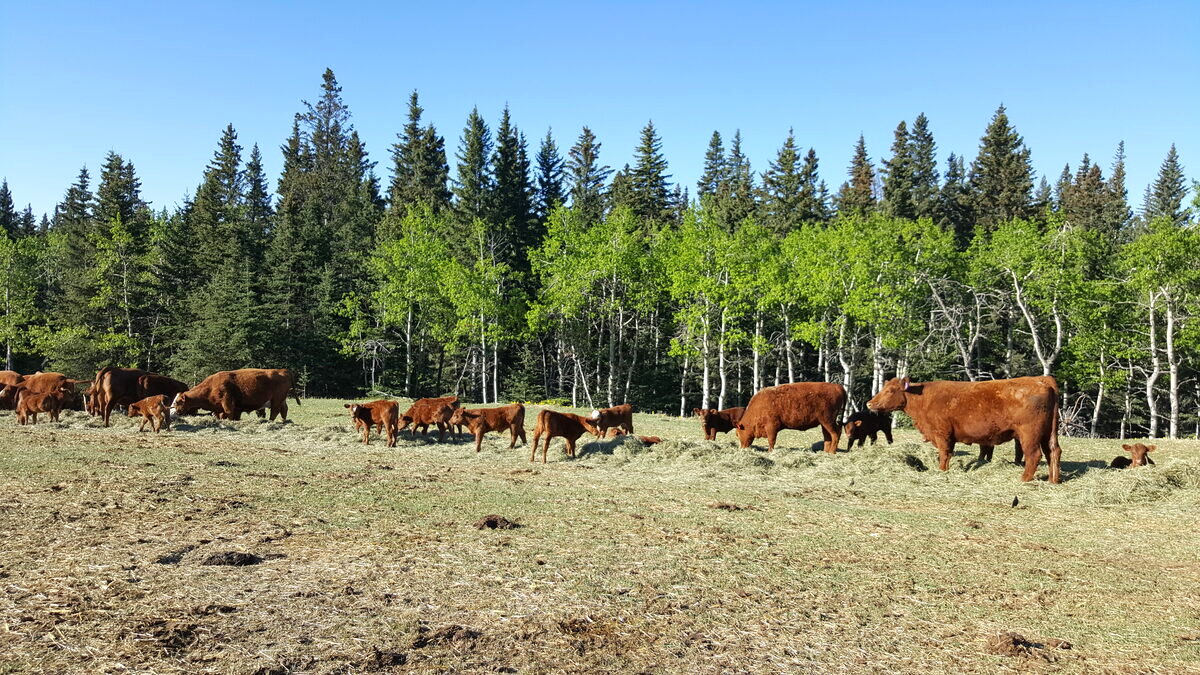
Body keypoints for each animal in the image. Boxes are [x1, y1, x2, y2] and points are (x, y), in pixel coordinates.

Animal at [171, 368, 300, 421]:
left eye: (178, 401)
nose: (176, 412)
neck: (211, 386)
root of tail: (283, 370)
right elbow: (221, 415)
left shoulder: (227, 402)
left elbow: (229, 413)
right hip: (282, 400)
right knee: (284, 410)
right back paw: (283, 421)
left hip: (276, 400)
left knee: (275, 411)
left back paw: (270, 421)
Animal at [866, 376, 1062, 483]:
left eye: (891, 390)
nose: (869, 403)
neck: (923, 399)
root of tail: (1041, 380)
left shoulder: (942, 433)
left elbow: (944, 453)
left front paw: (942, 471)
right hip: (1048, 434)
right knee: (1053, 452)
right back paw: (1053, 480)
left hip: (1029, 435)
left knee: (1034, 455)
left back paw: (1024, 479)